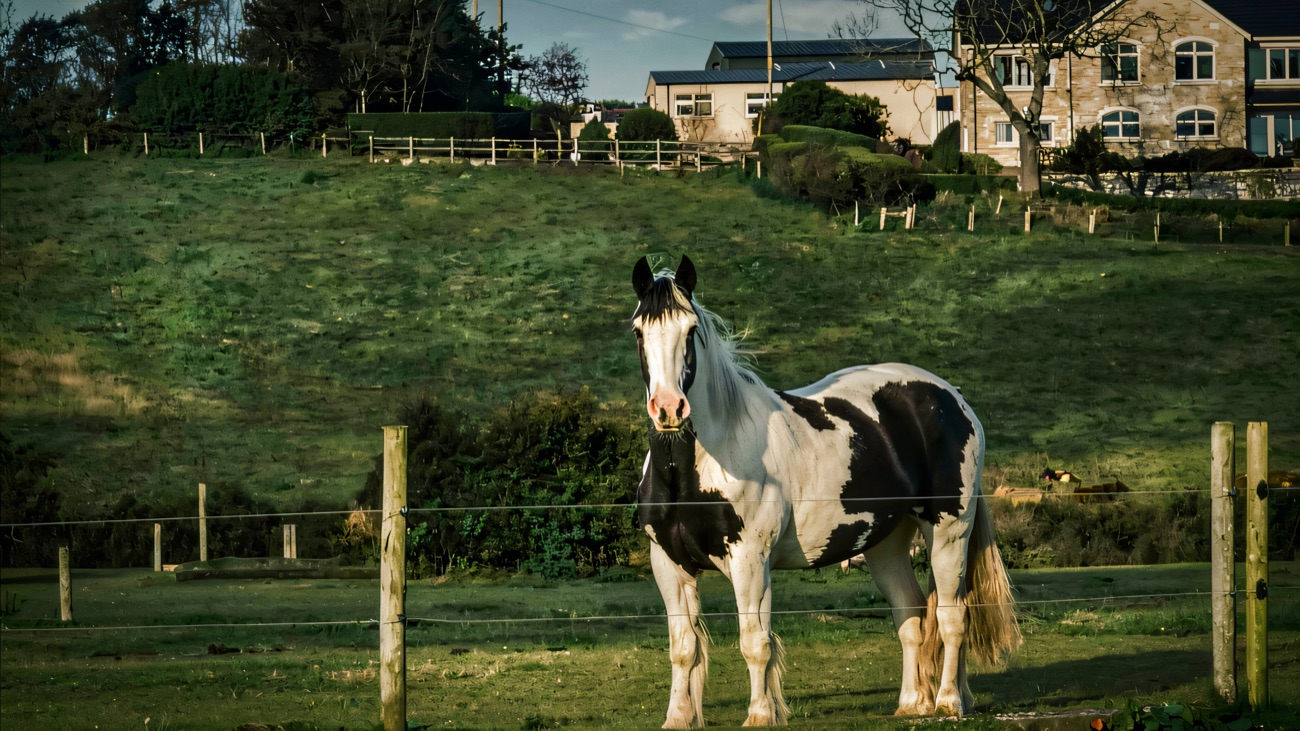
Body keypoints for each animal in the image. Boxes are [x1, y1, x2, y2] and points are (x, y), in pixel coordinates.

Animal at [631, 255, 1020, 727]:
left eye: (690, 330)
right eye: (639, 331)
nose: (669, 409)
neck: (704, 461)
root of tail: (952, 398)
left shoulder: (750, 561)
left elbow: (754, 642)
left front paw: (760, 714)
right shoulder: (669, 565)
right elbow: (683, 648)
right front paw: (678, 717)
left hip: (948, 532)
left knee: (951, 615)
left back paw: (948, 701)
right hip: (886, 542)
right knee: (910, 614)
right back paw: (914, 703)